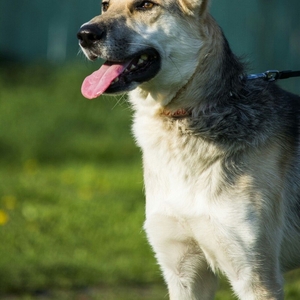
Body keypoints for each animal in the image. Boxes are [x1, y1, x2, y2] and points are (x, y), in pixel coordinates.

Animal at [77, 1, 300, 298]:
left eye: (145, 5)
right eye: (104, 5)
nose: (84, 34)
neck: (192, 113)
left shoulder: (255, 279)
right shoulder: (183, 274)